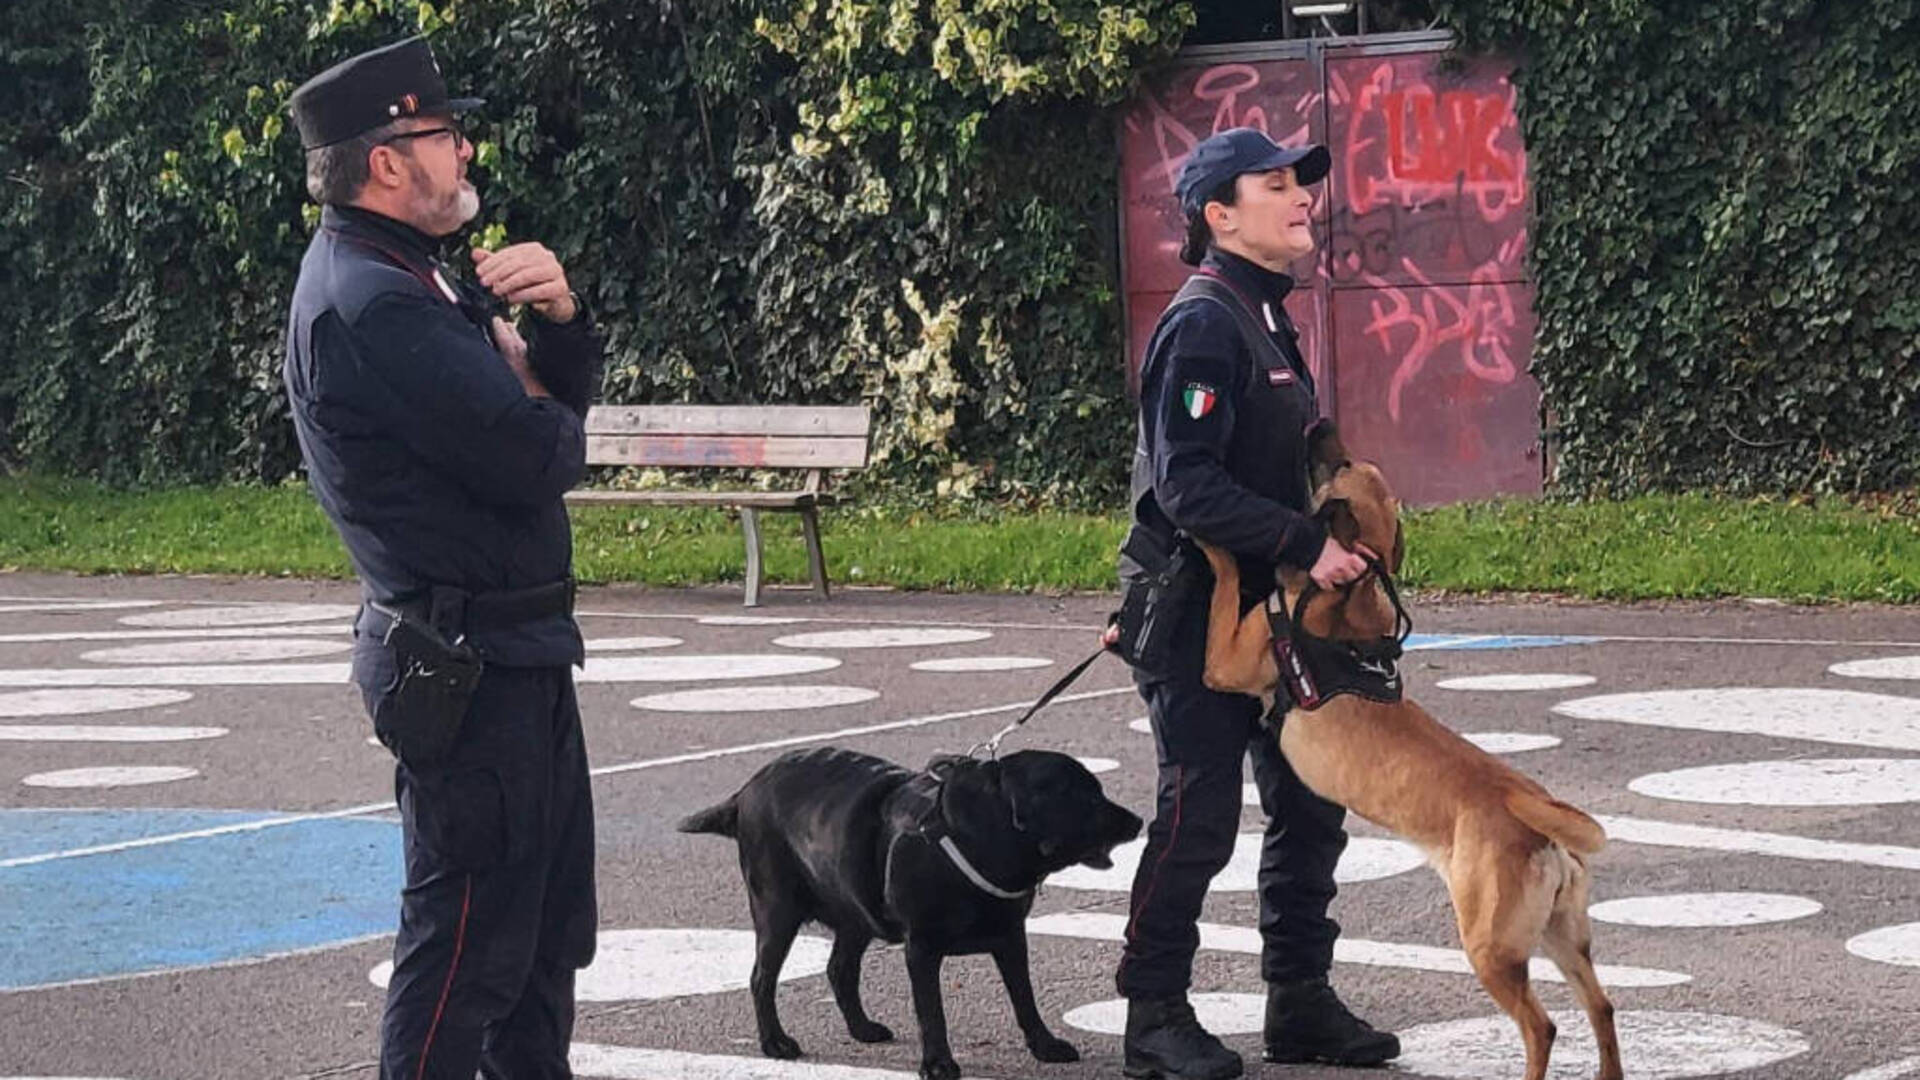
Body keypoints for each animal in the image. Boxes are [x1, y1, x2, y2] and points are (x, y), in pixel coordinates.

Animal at [683, 745, 1144, 1068]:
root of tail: (745, 791)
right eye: (1088, 797)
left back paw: (862, 1028)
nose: (1138, 820)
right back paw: (775, 1042)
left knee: (839, 968)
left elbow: (1024, 998)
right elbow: (931, 1012)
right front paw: (938, 1063)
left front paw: (1045, 1045)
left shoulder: (1012, 936)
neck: (981, 837)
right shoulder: (921, 946)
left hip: (854, 910)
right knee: (762, 977)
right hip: (776, 907)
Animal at [1198, 420, 1620, 1076]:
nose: (1321, 424)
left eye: (1342, 464)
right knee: (1601, 1008)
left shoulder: (1225, 660)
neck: (1350, 588)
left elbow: (1224, 583)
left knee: (1542, 1025)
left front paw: (1205, 541)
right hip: (1562, 935)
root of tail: (1525, 807)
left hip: (1491, 948)